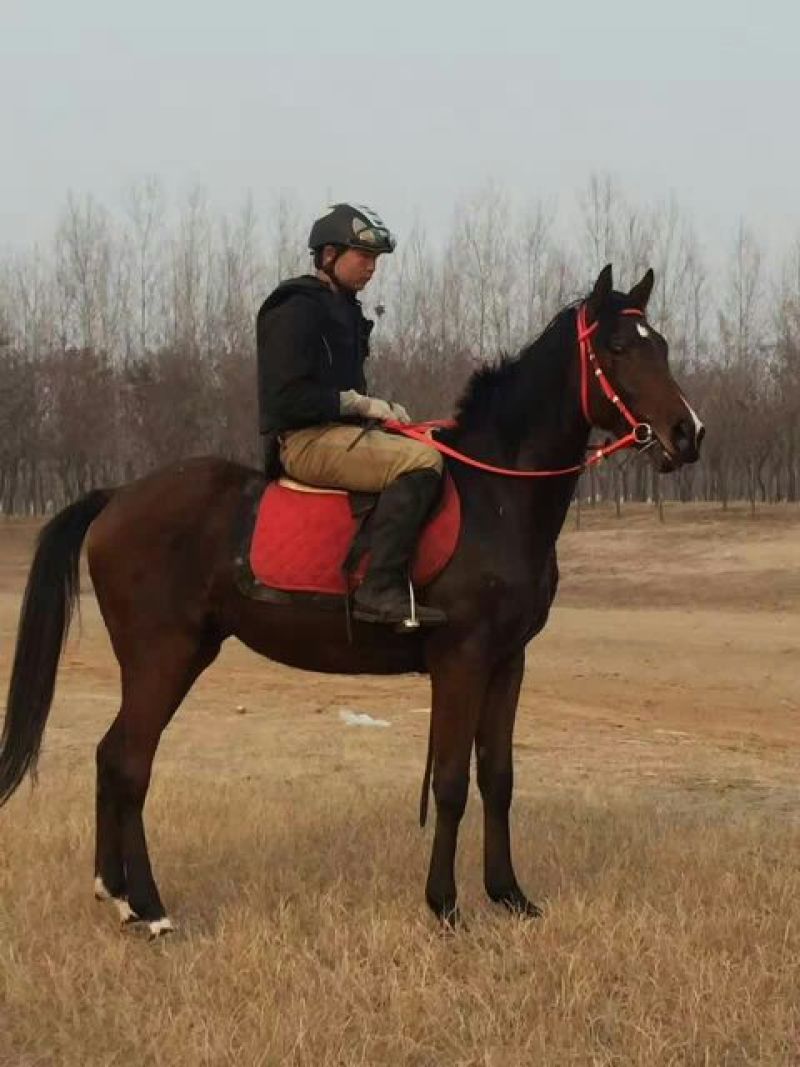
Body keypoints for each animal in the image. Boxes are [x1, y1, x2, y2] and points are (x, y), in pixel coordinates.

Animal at [0, 265, 704, 936]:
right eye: (617, 347)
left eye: (662, 345)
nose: (688, 433)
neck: (497, 496)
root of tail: (117, 496)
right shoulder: (462, 660)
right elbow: (451, 782)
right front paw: (445, 906)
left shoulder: (508, 662)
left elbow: (498, 778)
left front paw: (509, 895)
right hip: (162, 656)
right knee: (128, 762)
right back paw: (150, 907)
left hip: (177, 655)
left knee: (110, 756)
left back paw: (116, 895)